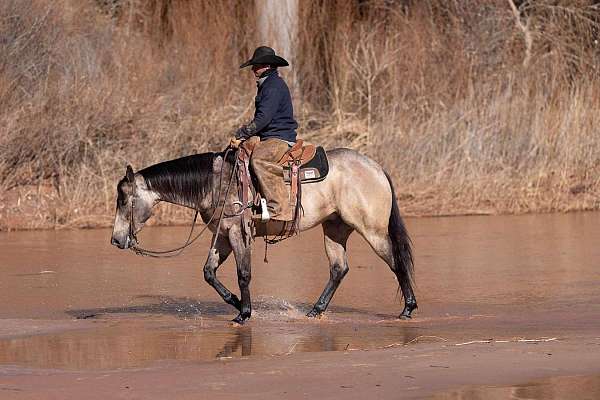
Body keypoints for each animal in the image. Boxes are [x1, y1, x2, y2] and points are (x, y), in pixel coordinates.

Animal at [110, 145, 418, 324]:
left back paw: (408, 309)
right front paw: (236, 303)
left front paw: (244, 313)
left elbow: (244, 274)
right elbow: (209, 273)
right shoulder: (222, 236)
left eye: (124, 200)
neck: (216, 183)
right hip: (335, 228)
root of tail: (375, 167)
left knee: (395, 262)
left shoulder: (238, 233)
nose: (115, 240)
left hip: (372, 230)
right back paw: (316, 310)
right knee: (338, 268)